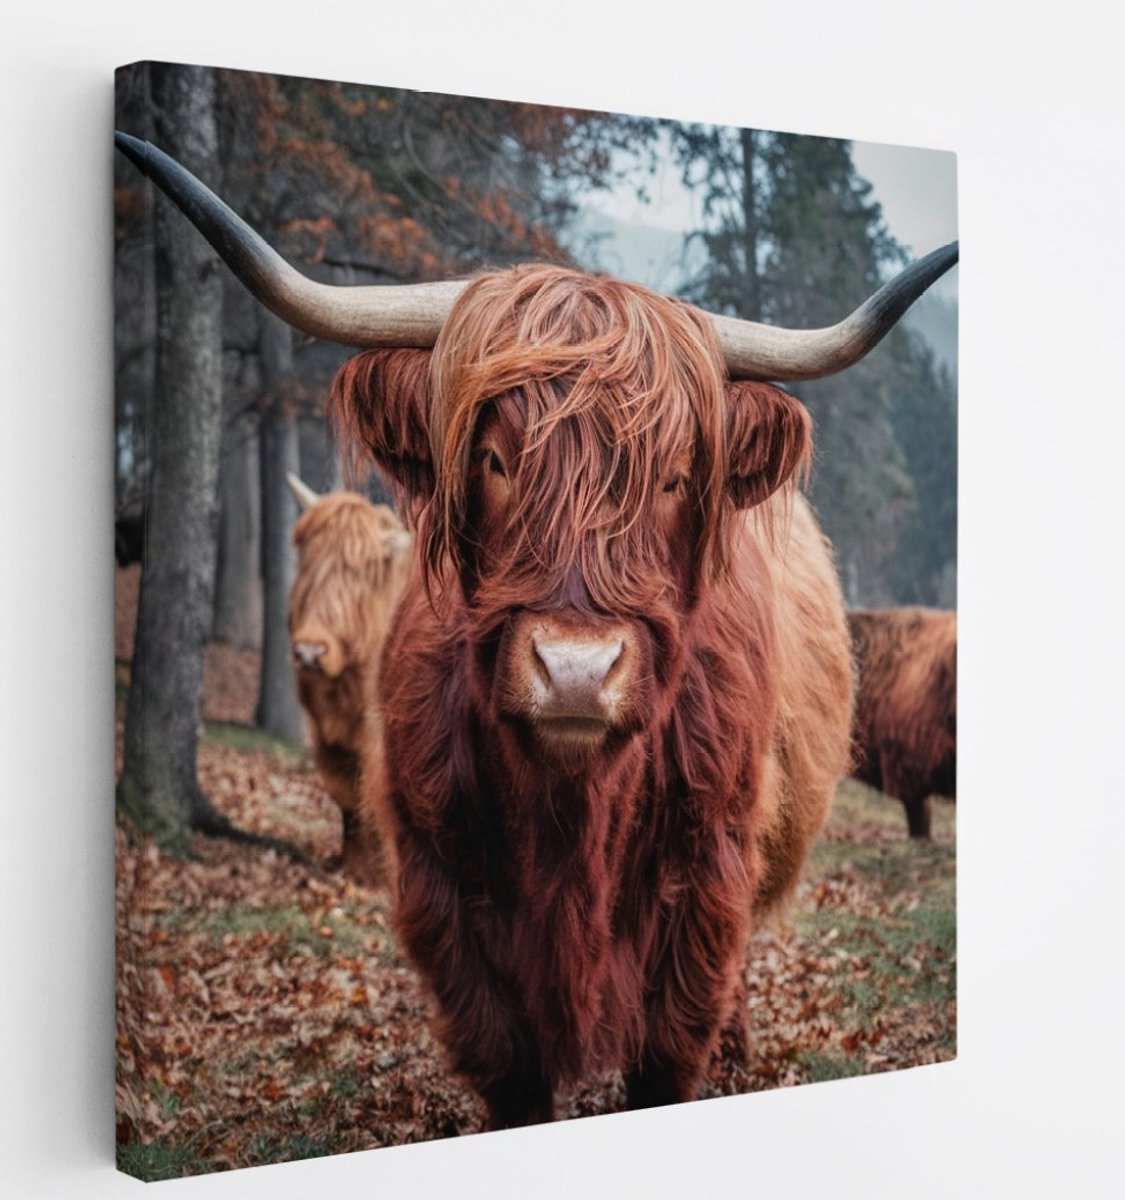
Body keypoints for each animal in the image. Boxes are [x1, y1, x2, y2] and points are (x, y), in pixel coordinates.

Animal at [286, 474, 412, 885]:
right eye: (309, 562)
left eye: (360, 572)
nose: (310, 652)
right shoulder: (327, 737)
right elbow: (347, 799)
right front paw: (356, 869)